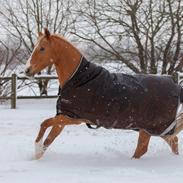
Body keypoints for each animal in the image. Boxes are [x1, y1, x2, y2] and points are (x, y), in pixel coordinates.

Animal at [24, 28, 182, 159]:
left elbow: (44, 124)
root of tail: (175, 86)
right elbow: (48, 139)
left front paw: (36, 148)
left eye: (42, 48)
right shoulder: (64, 117)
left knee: (148, 148)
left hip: (151, 129)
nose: (27, 70)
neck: (79, 78)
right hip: (152, 130)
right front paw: (37, 157)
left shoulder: (72, 118)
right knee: (171, 141)